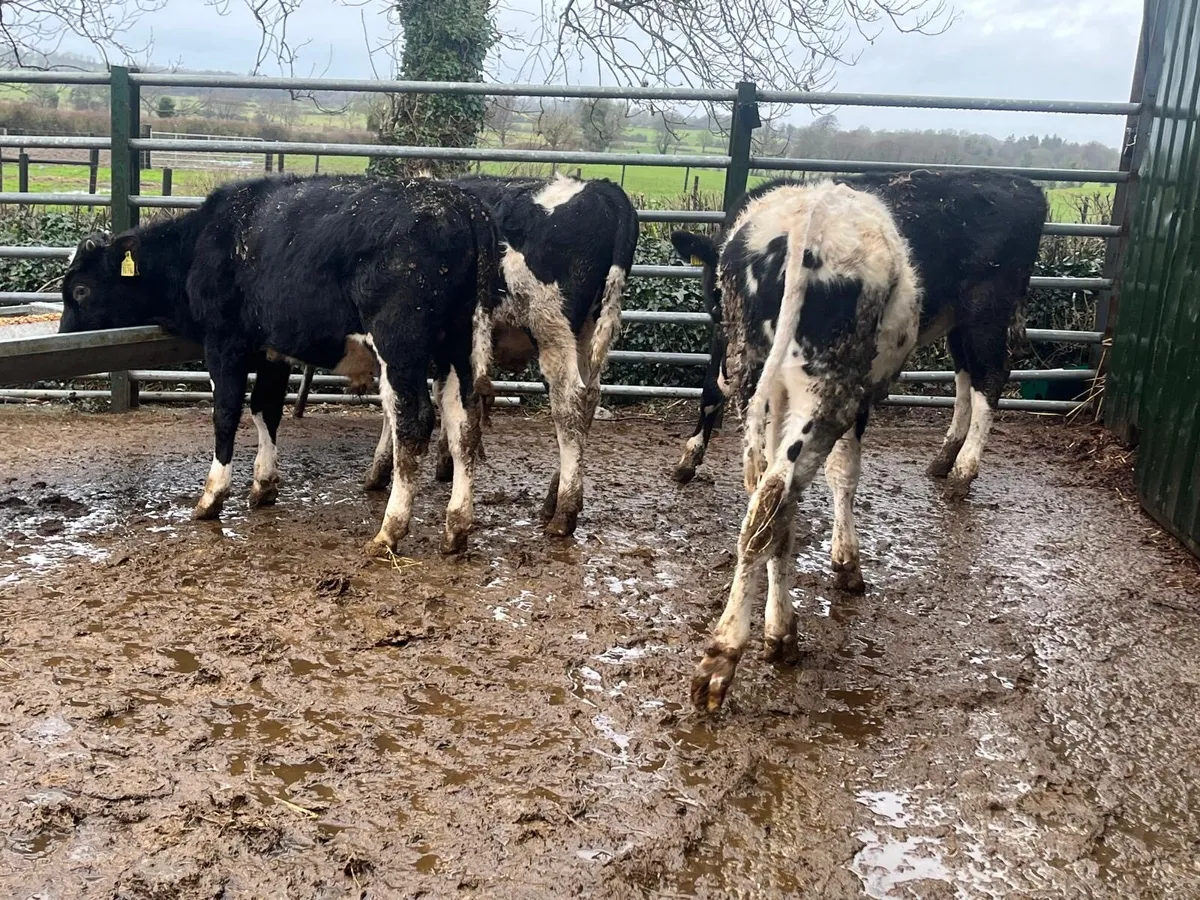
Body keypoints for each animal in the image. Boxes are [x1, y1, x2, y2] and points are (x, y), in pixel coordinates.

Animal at [58, 173, 499, 556]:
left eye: (80, 290)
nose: (63, 335)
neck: (202, 241)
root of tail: (459, 203)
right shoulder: (274, 351)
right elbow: (265, 408)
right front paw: (264, 484)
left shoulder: (224, 343)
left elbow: (226, 413)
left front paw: (212, 496)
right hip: (459, 346)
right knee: (464, 424)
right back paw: (456, 527)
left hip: (400, 344)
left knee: (414, 422)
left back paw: (389, 530)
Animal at [377, 173, 639, 537]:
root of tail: (600, 188)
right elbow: (448, 396)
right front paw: (445, 460)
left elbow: (399, 406)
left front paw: (381, 469)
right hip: (587, 333)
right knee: (589, 399)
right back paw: (556, 496)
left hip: (552, 329)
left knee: (569, 404)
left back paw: (564, 512)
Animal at [671, 169, 1048, 502]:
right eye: (715, 301)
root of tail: (1026, 188)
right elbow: (710, 388)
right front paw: (689, 458)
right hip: (960, 321)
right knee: (966, 378)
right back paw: (944, 459)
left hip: (986, 313)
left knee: (990, 378)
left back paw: (962, 473)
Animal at [685, 180, 922, 712]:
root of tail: (803, 221)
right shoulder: (858, 404)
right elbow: (845, 473)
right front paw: (847, 564)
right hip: (830, 389)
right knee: (773, 497)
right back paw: (724, 656)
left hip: (757, 375)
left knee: (766, 501)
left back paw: (776, 632)